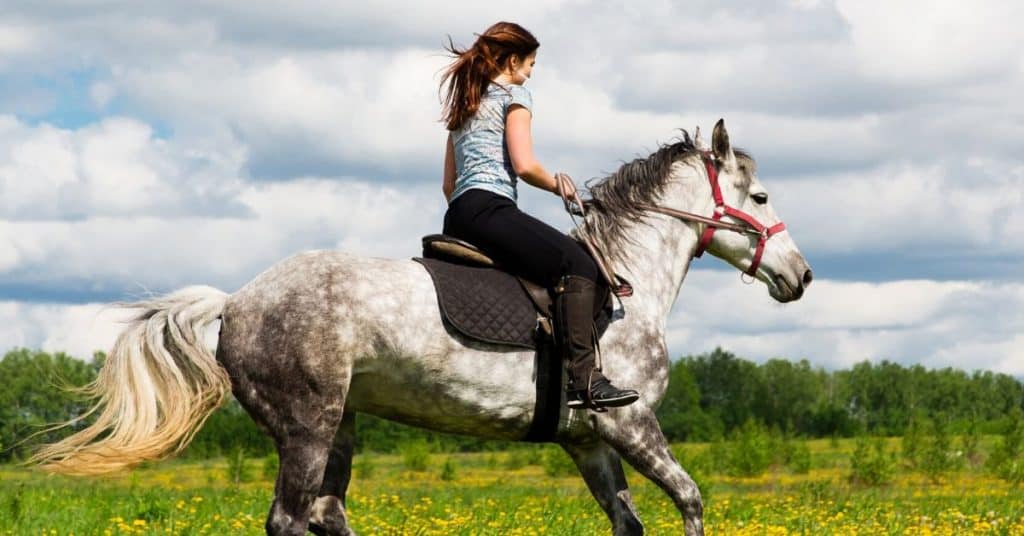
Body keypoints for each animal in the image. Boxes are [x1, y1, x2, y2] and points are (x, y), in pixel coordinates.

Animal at [36, 121, 811, 536]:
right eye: (760, 196)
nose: (800, 277)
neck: (626, 284)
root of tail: (237, 300)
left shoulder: (587, 440)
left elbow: (628, 520)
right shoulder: (630, 422)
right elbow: (690, 500)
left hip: (340, 426)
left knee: (327, 514)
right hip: (307, 427)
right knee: (290, 518)